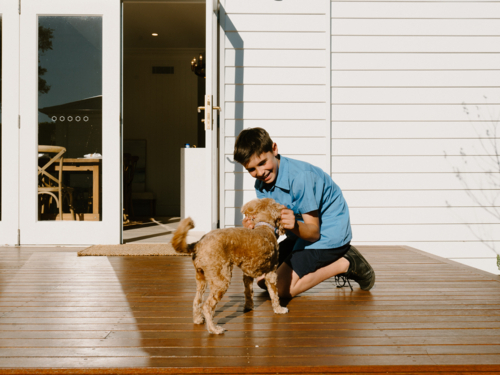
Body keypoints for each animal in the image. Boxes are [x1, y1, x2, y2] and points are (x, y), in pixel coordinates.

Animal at [172, 198, 290, 336]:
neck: (264, 226)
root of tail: (198, 244)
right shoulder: (271, 273)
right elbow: (274, 294)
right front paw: (279, 309)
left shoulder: (247, 274)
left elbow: (248, 292)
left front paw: (249, 306)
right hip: (221, 279)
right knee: (207, 306)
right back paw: (214, 329)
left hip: (201, 278)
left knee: (197, 301)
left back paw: (198, 320)